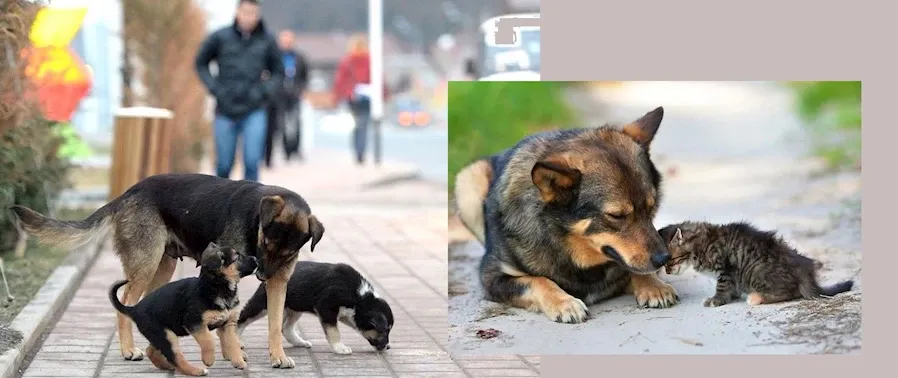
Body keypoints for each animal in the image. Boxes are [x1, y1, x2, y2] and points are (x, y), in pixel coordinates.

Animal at [108, 244, 258, 376]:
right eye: (237, 257)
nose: (256, 259)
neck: (217, 287)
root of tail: (134, 309)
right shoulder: (194, 322)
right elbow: (208, 340)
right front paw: (209, 359)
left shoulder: (228, 324)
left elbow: (233, 343)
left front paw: (238, 361)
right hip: (166, 335)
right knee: (176, 358)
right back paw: (196, 371)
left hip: (164, 333)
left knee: (151, 350)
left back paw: (167, 366)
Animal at [236, 260, 394, 354]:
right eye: (385, 330)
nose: (388, 347)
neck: (359, 298)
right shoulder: (327, 308)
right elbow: (334, 331)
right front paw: (340, 348)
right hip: (262, 303)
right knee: (243, 317)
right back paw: (237, 340)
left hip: (295, 307)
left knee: (286, 327)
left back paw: (299, 342)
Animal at [456, 107, 680, 324]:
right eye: (616, 216)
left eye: (652, 207)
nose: (664, 258)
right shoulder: (492, 277)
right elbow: (537, 280)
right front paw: (564, 302)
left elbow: (634, 269)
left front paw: (654, 285)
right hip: (468, 181)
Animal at [656, 221, 852, 308]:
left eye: (670, 260)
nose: (668, 272)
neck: (701, 244)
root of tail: (804, 271)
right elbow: (731, 287)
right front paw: (732, 296)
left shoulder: (726, 268)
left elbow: (722, 286)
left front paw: (716, 300)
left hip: (756, 271)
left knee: (788, 292)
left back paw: (756, 297)